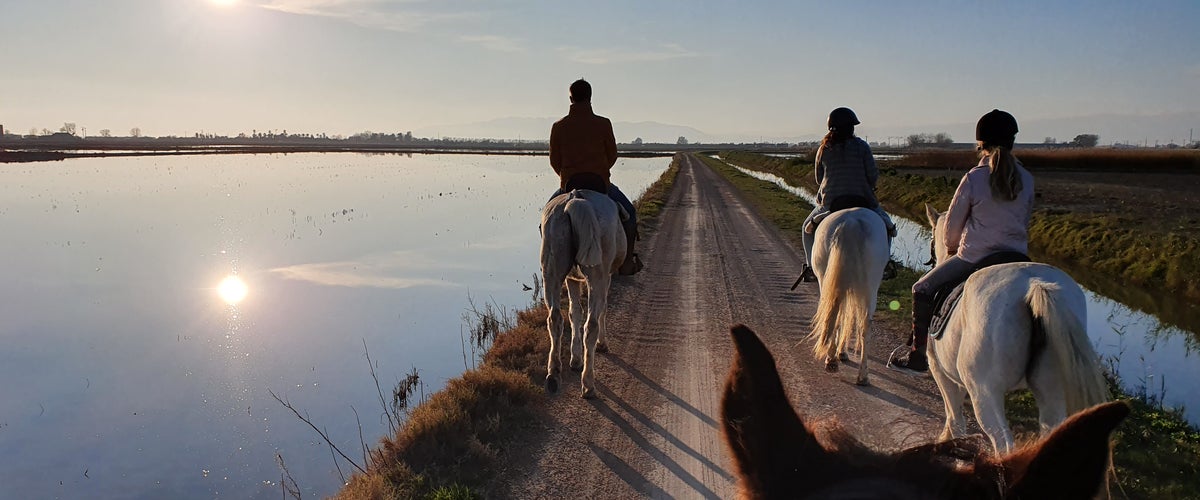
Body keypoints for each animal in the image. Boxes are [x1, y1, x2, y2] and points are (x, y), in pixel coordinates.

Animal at [540, 188, 627, 399]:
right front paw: (602, 345)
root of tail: (576, 198)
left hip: (551, 271)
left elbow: (574, 313)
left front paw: (575, 359)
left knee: (555, 319)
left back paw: (553, 375)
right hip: (597, 275)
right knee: (591, 324)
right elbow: (602, 310)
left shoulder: (571, 279)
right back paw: (588, 384)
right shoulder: (607, 277)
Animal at [808, 207, 890, 385]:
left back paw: (832, 361)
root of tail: (851, 222)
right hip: (870, 286)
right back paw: (862, 376)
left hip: (826, 278)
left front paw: (840, 352)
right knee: (865, 324)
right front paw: (842, 352)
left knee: (834, 312)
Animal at [922, 203, 1109, 454]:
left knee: (1004, 444)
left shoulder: (941, 371)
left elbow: (954, 416)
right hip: (1051, 391)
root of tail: (1035, 284)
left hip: (985, 393)